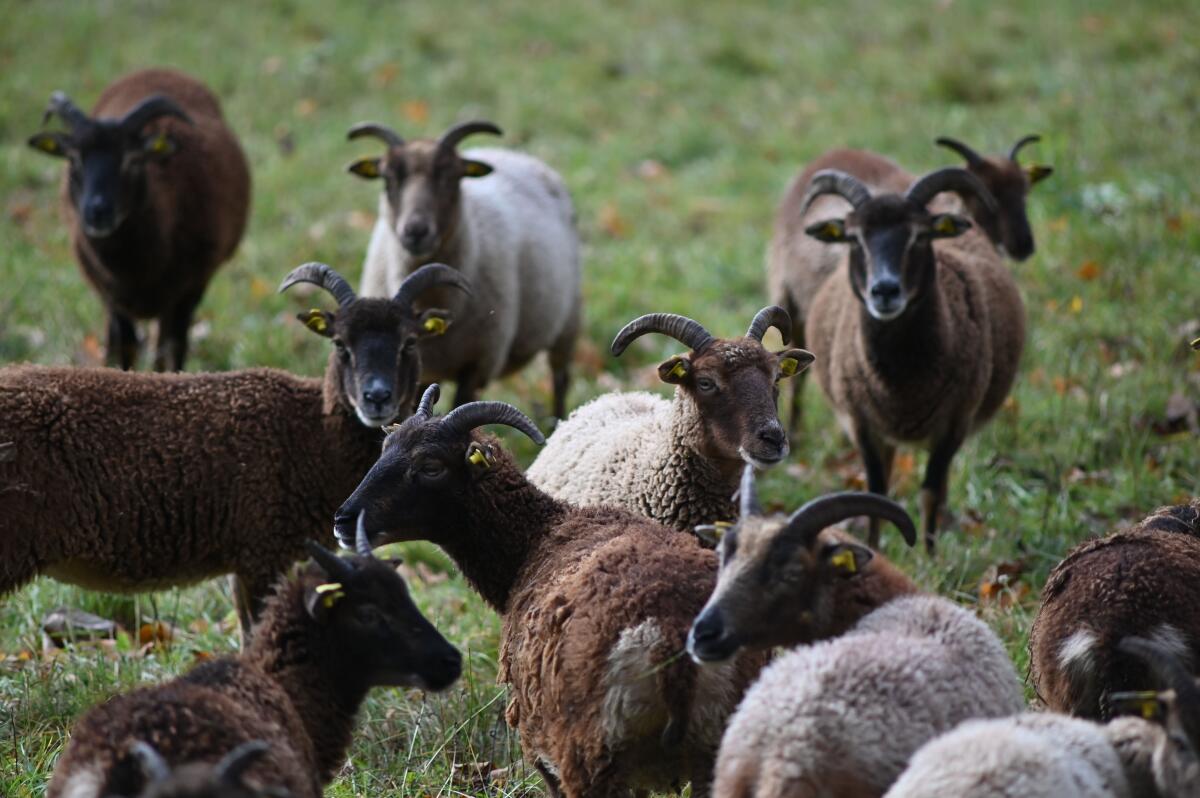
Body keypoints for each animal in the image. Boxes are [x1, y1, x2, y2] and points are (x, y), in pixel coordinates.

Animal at [0, 262, 468, 632]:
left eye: (409, 342)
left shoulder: (245, 559)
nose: (376, 397)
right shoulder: (261, 550)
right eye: (340, 344)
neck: (312, 434)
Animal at [26, 68, 250, 371]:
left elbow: (173, 349)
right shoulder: (112, 296)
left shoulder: (190, 288)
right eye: (74, 159)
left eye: (132, 159)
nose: (97, 211)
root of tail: (160, 69)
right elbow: (127, 348)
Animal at [328, 388, 895, 797]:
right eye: (385, 447)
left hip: (589, 756)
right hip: (721, 753)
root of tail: (671, 640)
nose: (343, 519)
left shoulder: (545, 756)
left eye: (430, 466)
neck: (540, 536)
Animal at [347, 119, 581, 417]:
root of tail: (511, 153)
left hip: (568, 322)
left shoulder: (477, 364)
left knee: (560, 379)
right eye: (387, 178)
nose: (415, 231)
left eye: (450, 176)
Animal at [797, 167, 1025, 551]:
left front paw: (930, 557)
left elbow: (930, 492)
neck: (901, 383)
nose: (885, 291)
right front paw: (874, 551)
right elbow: (876, 494)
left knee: (941, 486)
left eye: (919, 235)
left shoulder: (955, 423)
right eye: (854, 238)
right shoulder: (862, 423)